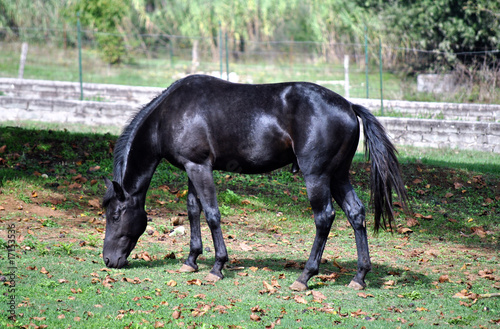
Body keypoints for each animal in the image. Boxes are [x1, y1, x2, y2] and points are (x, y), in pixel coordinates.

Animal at [102, 73, 410, 290]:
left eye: (115, 215)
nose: (107, 260)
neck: (170, 113)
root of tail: (348, 105)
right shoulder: (192, 168)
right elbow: (193, 210)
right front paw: (191, 261)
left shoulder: (200, 168)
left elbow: (212, 214)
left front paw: (217, 266)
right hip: (339, 175)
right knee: (356, 214)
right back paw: (359, 276)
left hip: (318, 176)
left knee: (324, 218)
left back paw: (305, 277)